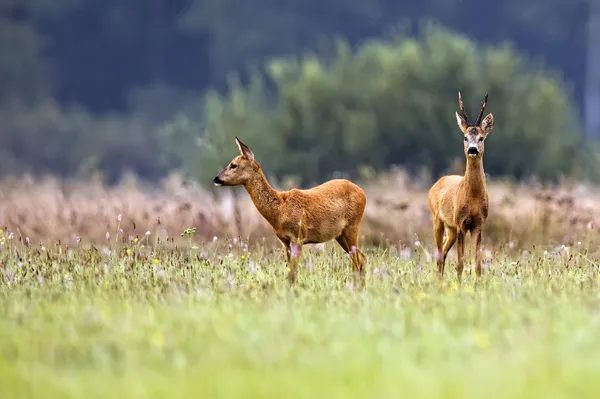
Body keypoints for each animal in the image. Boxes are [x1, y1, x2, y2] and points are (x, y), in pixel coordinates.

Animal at [213, 138, 368, 288]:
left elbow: (293, 272)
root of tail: (362, 192)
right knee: (360, 258)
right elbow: (289, 272)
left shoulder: (298, 236)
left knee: (358, 259)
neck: (280, 211)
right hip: (340, 234)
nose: (216, 178)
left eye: (233, 165)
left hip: (353, 225)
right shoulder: (285, 241)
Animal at [428, 92, 494, 282]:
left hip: (450, 229)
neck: (472, 197)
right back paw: (440, 282)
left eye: (481, 138)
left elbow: (477, 264)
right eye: (465, 137)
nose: (472, 149)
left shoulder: (478, 223)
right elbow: (460, 263)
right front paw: (459, 284)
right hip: (437, 220)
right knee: (439, 254)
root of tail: (437, 182)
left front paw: (478, 284)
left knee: (442, 253)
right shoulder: (461, 223)